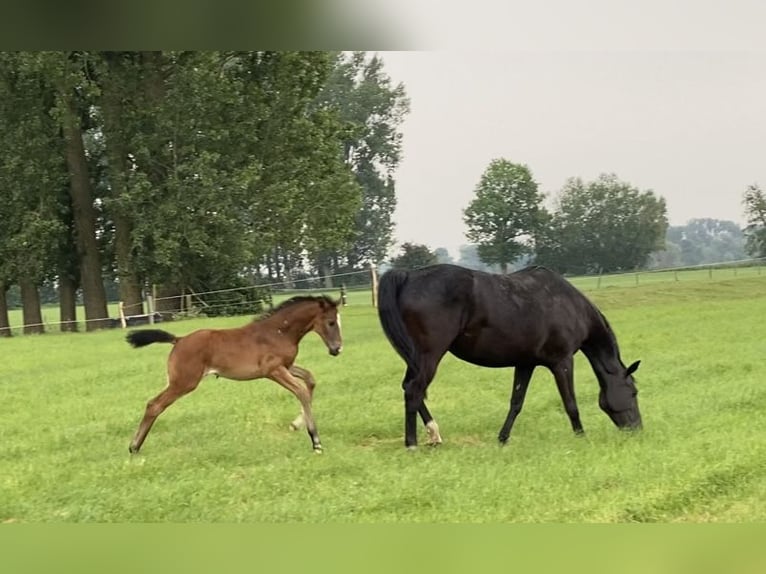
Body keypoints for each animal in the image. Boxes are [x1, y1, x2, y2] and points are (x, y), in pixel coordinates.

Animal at [378, 264, 640, 450]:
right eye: (634, 392)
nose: (637, 428)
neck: (569, 305)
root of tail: (409, 276)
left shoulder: (525, 363)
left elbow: (516, 402)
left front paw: (503, 438)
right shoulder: (562, 362)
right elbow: (570, 403)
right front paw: (581, 436)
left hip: (416, 358)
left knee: (410, 388)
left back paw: (434, 434)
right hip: (430, 355)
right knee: (414, 390)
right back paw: (412, 444)